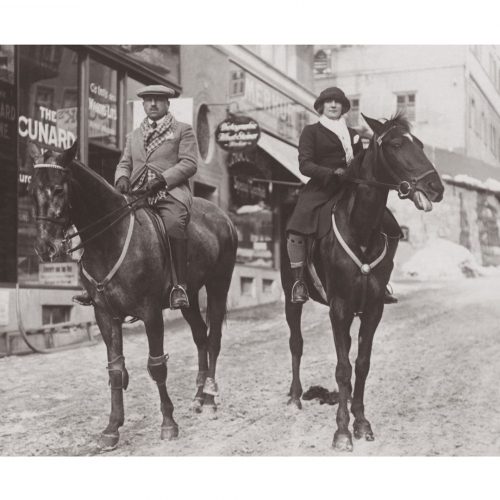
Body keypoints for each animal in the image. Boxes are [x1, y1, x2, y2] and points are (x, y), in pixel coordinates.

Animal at [30, 141, 238, 450]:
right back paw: (199, 397)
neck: (109, 240)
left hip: (218, 285)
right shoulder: (104, 314)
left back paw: (211, 399)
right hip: (188, 296)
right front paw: (112, 428)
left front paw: (168, 423)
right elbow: (116, 369)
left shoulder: (150, 313)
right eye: (32, 190)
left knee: (213, 339)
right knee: (201, 336)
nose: (46, 247)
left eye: (58, 189)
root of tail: (223, 216)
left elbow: (157, 366)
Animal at [282, 114, 446, 454]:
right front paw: (342, 431)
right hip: (290, 297)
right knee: (296, 342)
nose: (436, 187)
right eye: (396, 144)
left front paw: (360, 423)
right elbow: (343, 368)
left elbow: (361, 364)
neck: (360, 229)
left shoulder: (372, 309)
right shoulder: (339, 309)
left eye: (420, 144)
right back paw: (294, 396)